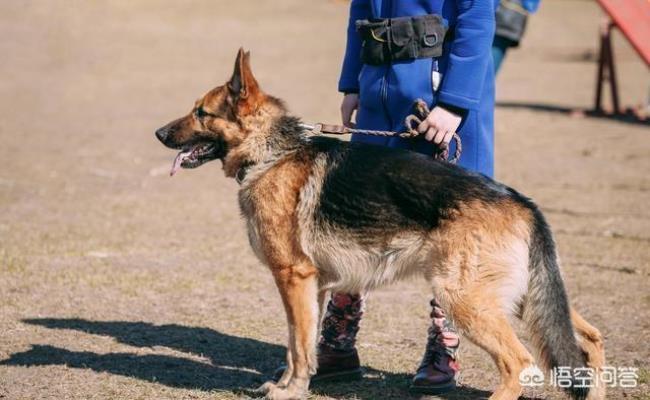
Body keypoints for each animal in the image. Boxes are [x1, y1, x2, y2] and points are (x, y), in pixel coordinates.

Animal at [154, 50, 604, 400]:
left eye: (201, 113)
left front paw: (290, 391)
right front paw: (291, 384)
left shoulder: (293, 277)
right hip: (527, 299)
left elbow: (297, 345)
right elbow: (300, 344)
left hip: (464, 297)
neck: (273, 152)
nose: (158, 133)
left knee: (519, 362)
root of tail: (521, 202)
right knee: (589, 340)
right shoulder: (312, 286)